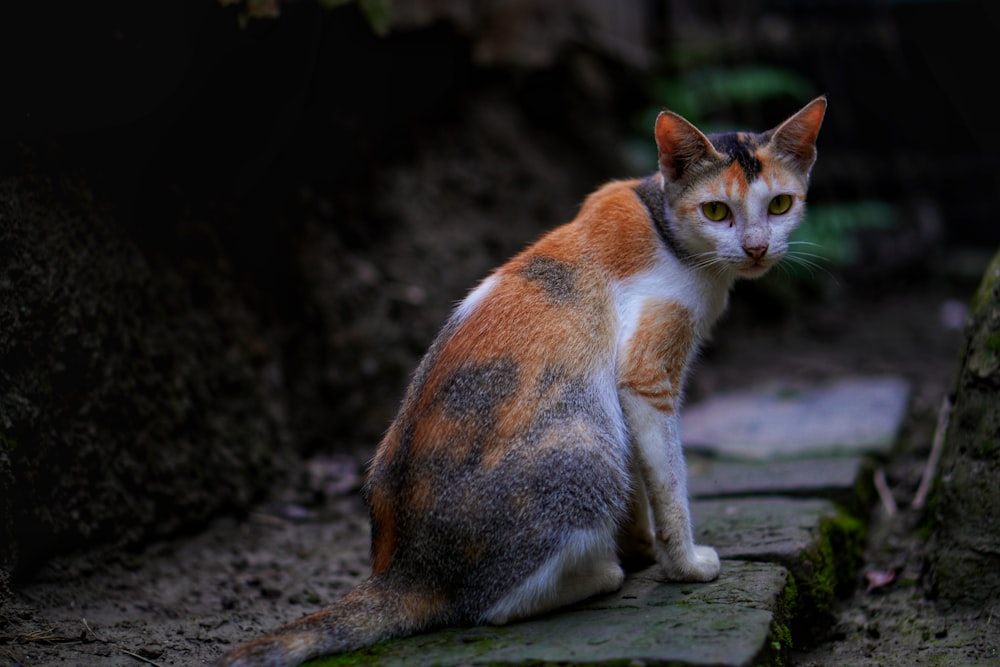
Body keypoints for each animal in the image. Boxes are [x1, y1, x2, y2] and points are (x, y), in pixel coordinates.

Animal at [217, 95, 828, 667]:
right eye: (717, 211)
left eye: (779, 204)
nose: (755, 247)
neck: (664, 227)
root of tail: (405, 570)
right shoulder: (644, 377)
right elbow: (669, 480)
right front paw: (683, 563)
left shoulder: (625, 397)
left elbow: (641, 482)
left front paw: (640, 546)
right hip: (585, 448)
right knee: (489, 608)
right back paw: (599, 574)